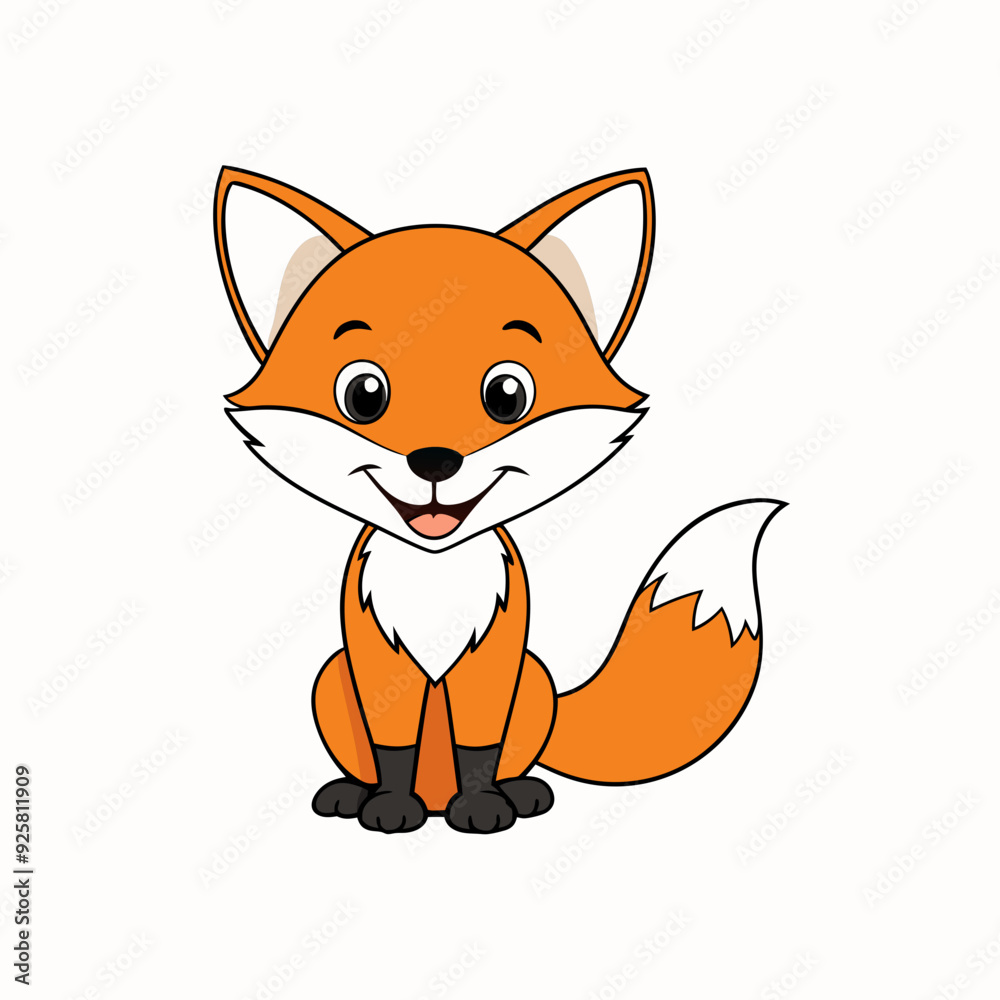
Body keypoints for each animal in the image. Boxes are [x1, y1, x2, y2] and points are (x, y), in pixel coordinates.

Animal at [213, 165, 783, 834]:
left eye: (507, 394)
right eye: (363, 394)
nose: (435, 460)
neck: (435, 575)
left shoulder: (493, 659)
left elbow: (479, 747)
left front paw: (482, 806)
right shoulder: (379, 660)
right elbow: (392, 749)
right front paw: (390, 806)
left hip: (532, 681)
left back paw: (520, 792)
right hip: (331, 678)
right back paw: (354, 794)